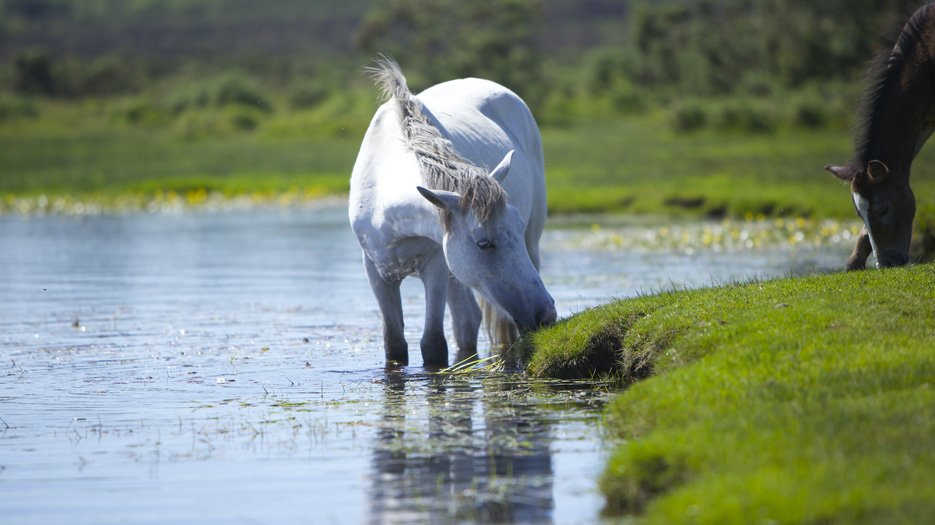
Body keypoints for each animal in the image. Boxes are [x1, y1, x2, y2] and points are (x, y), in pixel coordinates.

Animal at [352, 58, 556, 364]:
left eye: (517, 228)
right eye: (483, 243)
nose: (547, 315)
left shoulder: (436, 265)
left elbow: (433, 344)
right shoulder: (376, 271)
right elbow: (395, 345)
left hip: (529, 247)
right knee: (467, 321)